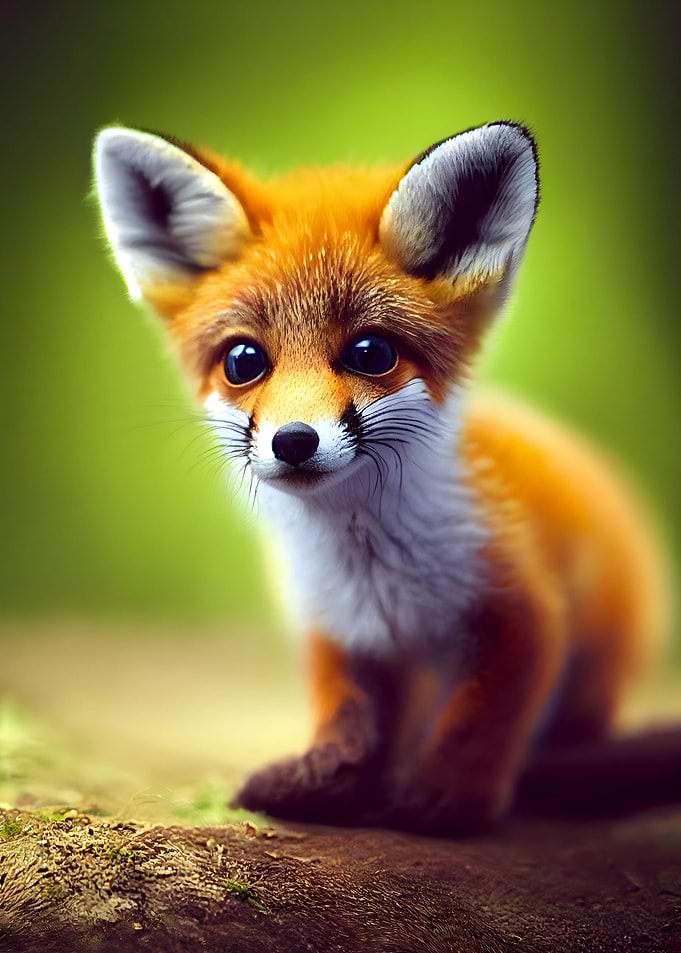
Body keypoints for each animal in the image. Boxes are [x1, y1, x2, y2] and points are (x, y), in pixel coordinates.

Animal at [92, 121, 668, 833]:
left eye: (371, 353)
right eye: (244, 361)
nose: (294, 440)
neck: (376, 571)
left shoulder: (522, 610)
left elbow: (479, 724)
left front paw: (447, 801)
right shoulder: (337, 627)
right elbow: (348, 725)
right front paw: (324, 786)